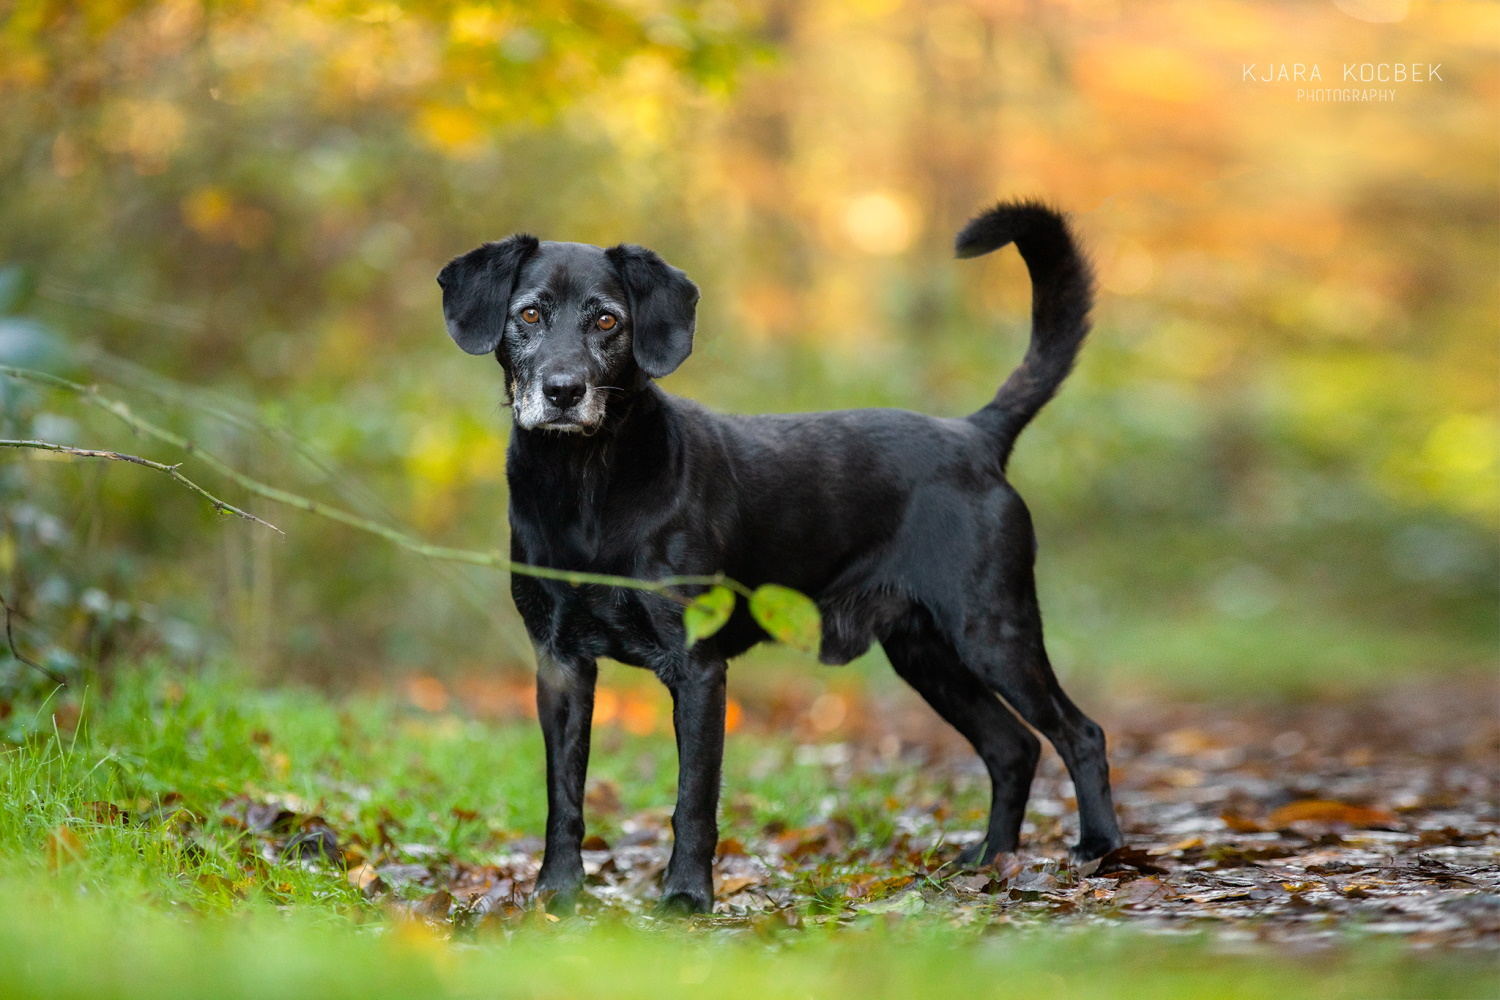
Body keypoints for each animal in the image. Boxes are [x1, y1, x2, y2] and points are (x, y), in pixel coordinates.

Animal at [438, 203, 1122, 917]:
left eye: (607, 321)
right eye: (529, 314)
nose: (564, 391)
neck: (585, 487)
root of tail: (975, 435)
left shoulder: (697, 666)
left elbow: (693, 799)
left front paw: (686, 896)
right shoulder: (561, 664)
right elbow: (563, 793)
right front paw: (559, 892)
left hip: (992, 630)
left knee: (1080, 733)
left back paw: (1097, 851)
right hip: (926, 654)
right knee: (1012, 746)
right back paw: (992, 860)